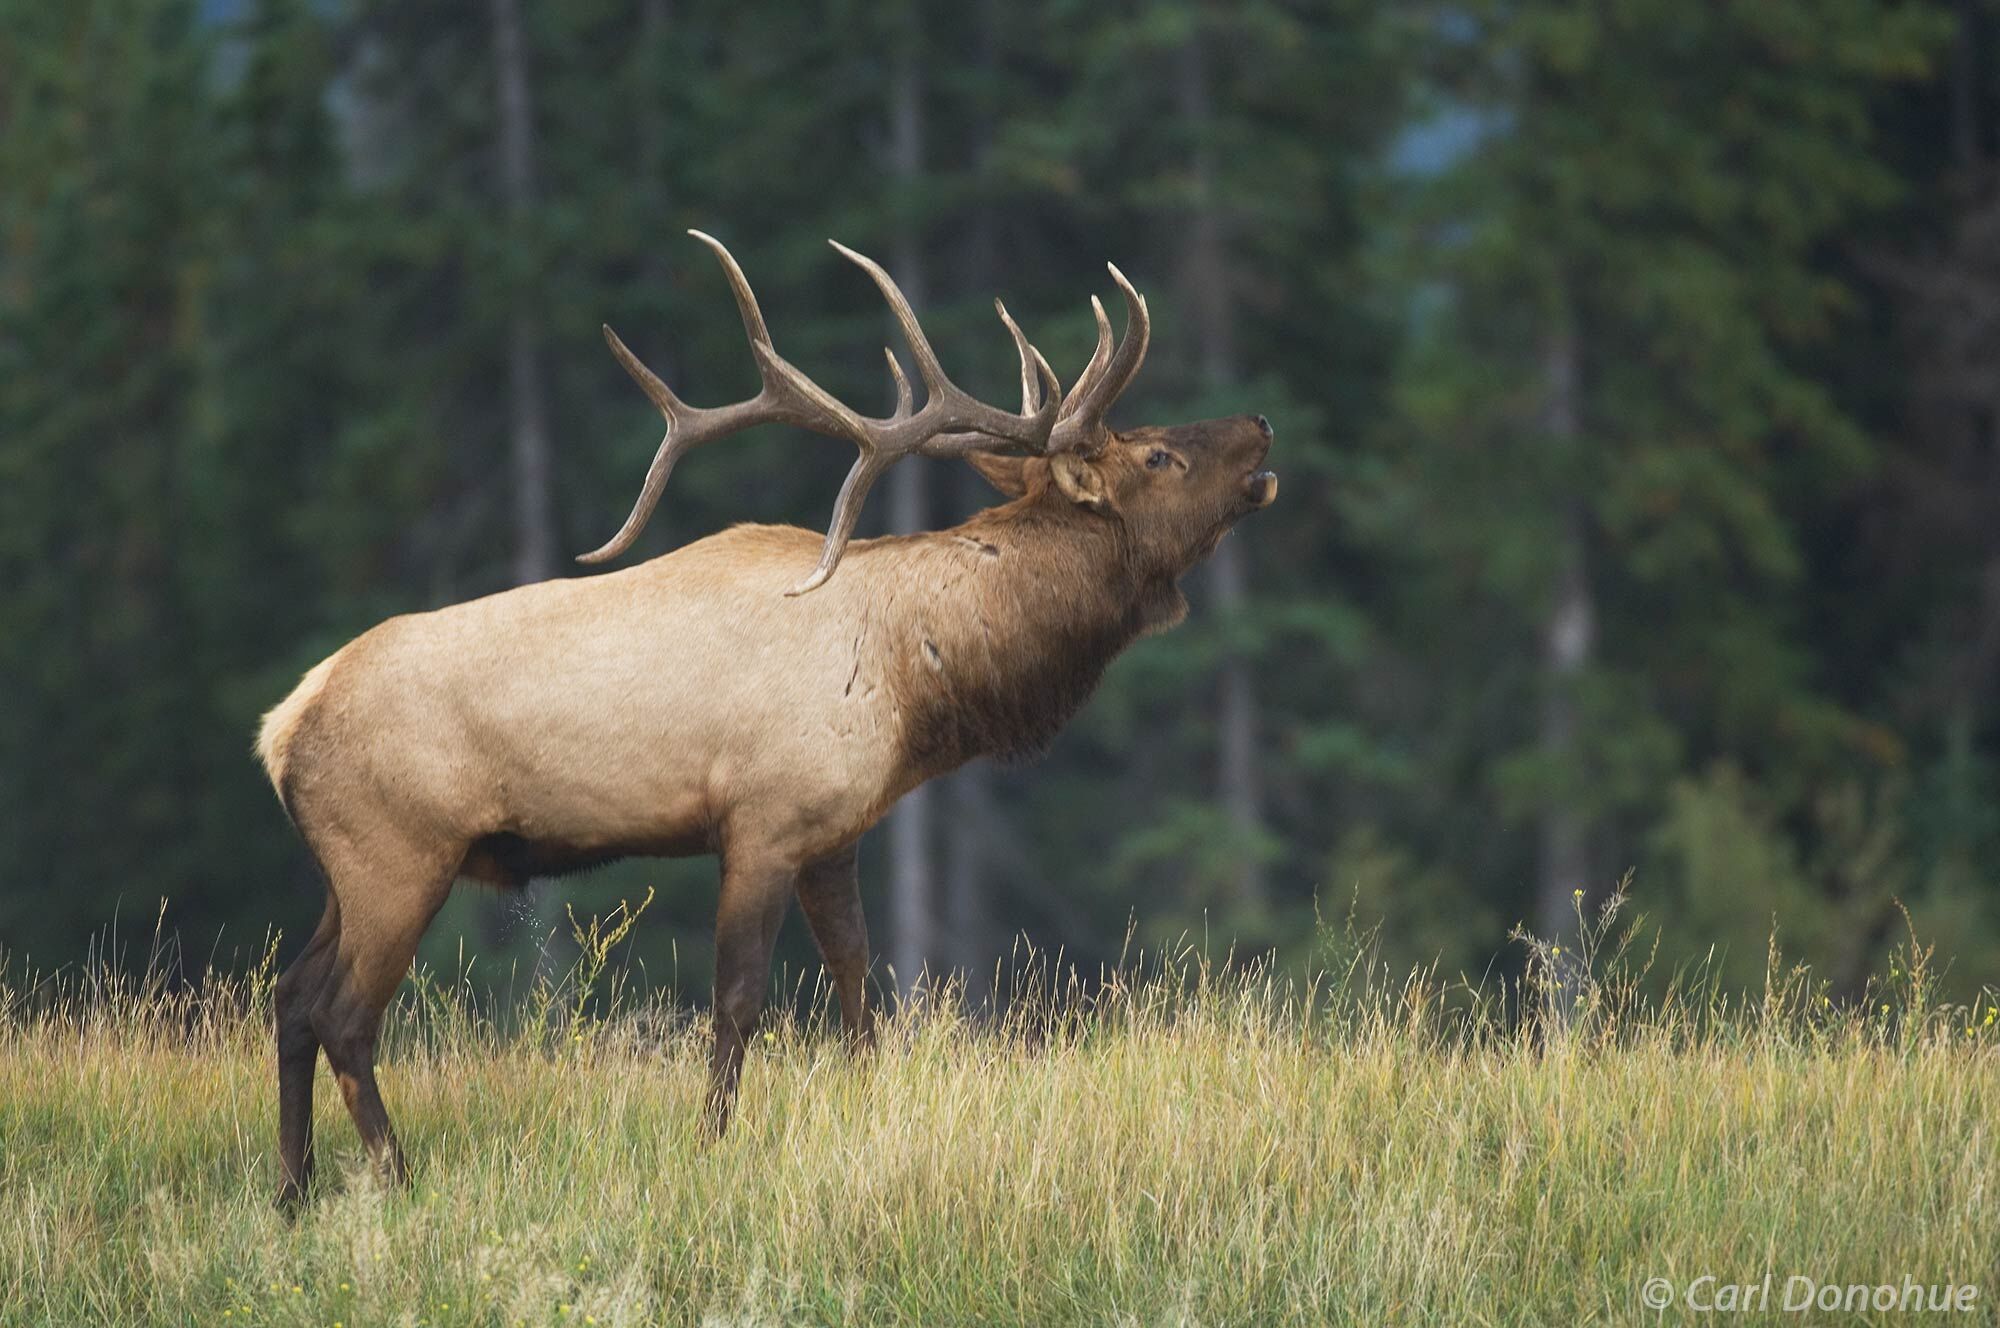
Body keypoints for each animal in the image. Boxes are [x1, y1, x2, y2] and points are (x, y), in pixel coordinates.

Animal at [258, 233, 1272, 1208]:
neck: (916, 676)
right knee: (346, 1014)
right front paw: (711, 1144)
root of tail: (282, 726)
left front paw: (870, 1113)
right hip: (401, 852)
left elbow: (859, 989)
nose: (1260, 425)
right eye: (1157, 456)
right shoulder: (762, 821)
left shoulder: (835, 835)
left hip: (346, 868)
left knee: (292, 995)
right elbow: (738, 1000)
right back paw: (396, 1177)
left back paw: (293, 1190)